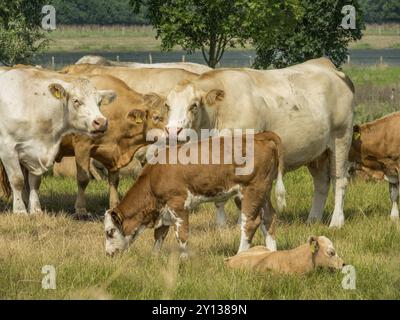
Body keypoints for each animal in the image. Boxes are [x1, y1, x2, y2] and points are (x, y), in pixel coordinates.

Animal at [0, 67, 115, 215]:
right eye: (76, 101)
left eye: (99, 102)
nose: (101, 122)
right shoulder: (7, 148)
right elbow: (17, 180)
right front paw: (20, 211)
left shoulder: (35, 154)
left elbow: (34, 181)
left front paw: (36, 209)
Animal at [55, 74, 167, 216]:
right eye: (156, 116)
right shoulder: (82, 145)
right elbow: (83, 178)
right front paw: (81, 210)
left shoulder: (112, 154)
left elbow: (114, 181)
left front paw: (114, 206)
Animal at [103, 130, 284, 258]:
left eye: (110, 232)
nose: (108, 254)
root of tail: (260, 136)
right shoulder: (164, 210)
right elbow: (159, 235)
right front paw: (154, 257)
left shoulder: (178, 204)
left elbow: (181, 235)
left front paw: (183, 259)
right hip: (263, 191)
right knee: (269, 218)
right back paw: (270, 254)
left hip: (251, 190)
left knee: (250, 223)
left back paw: (240, 255)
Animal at [164, 57, 354, 230]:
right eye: (167, 105)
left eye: (194, 105)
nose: (173, 131)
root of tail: (327, 65)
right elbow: (220, 198)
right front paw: (221, 226)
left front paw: (242, 224)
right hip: (317, 152)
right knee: (321, 183)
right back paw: (313, 220)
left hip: (341, 138)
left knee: (339, 181)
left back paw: (336, 222)